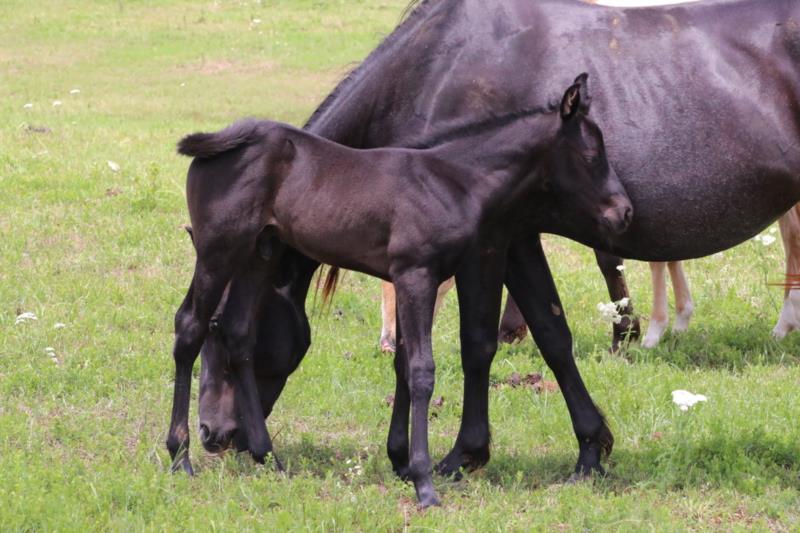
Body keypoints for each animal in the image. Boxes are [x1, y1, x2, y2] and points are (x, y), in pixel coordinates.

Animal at [167, 75, 633, 507]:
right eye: (592, 155)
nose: (624, 212)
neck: (454, 180)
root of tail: (219, 142)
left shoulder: (418, 278)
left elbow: (405, 364)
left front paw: (403, 463)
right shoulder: (416, 274)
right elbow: (422, 370)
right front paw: (424, 482)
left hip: (258, 255)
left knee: (240, 334)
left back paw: (267, 456)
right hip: (218, 251)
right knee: (188, 326)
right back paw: (179, 457)